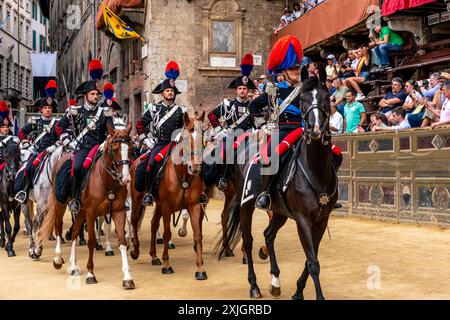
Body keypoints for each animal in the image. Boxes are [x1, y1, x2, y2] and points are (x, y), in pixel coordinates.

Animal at [35, 121, 134, 288]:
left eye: (131, 148)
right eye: (115, 150)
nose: (126, 179)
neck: (107, 180)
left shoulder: (118, 211)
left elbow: (122, 241)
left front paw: (127, 277)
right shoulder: (91, 213)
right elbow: (92, 241)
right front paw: (90, 274)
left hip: (80, 211)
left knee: (75, 232)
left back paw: (73, 266)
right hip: (61, 204)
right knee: (58, 226)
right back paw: (58, 258)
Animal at [130, 112, 207, 280]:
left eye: (202, 137)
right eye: (185, 138)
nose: (195, 167)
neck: (183, 175)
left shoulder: (194, 206)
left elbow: (198, 234)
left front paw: (200, 268)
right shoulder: (167, 206)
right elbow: (166, 234)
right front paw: (167, 264)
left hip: (158, 204)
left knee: (153, 223)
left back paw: (154, 256)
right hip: (137, 199)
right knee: (134, 221)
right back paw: (135, 251)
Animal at [218, 68, 338, 300]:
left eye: (327, 98)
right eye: (303, 99)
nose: (315, 129)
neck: (315, 169)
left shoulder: (322, 219)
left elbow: (310, 259)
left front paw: (298, 291)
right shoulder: (302, 219)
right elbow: (313, 263)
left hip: (280, 211)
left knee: (268, 234)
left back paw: (275, 281)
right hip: (246, 205)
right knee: (248, 241)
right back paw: (254, 286)